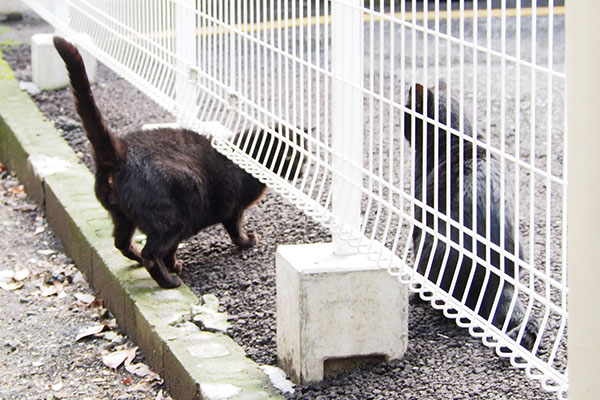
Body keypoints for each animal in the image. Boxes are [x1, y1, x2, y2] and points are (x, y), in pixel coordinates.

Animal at [52, 36, 304, 288]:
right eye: (289, 157)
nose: (301, 172)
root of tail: (122, 150)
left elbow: (172, 250)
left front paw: (174, 264)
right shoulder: (233, 210)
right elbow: (235, 231)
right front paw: (247, 241)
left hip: (125, 216)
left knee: (122, 243)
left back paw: (141, 260)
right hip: (172, 220)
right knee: (151, 253)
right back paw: (168, 281)